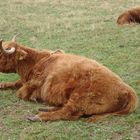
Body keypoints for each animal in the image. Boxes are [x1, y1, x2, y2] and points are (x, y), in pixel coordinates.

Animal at [0, 37, 138, 122]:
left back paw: (38, 116)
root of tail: (128, 91)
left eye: (1, 54)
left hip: (80, 98)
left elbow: (20, 92)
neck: (37, 61)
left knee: (68, 112)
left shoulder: (30, 86)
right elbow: (13, 83)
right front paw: (2, 84)